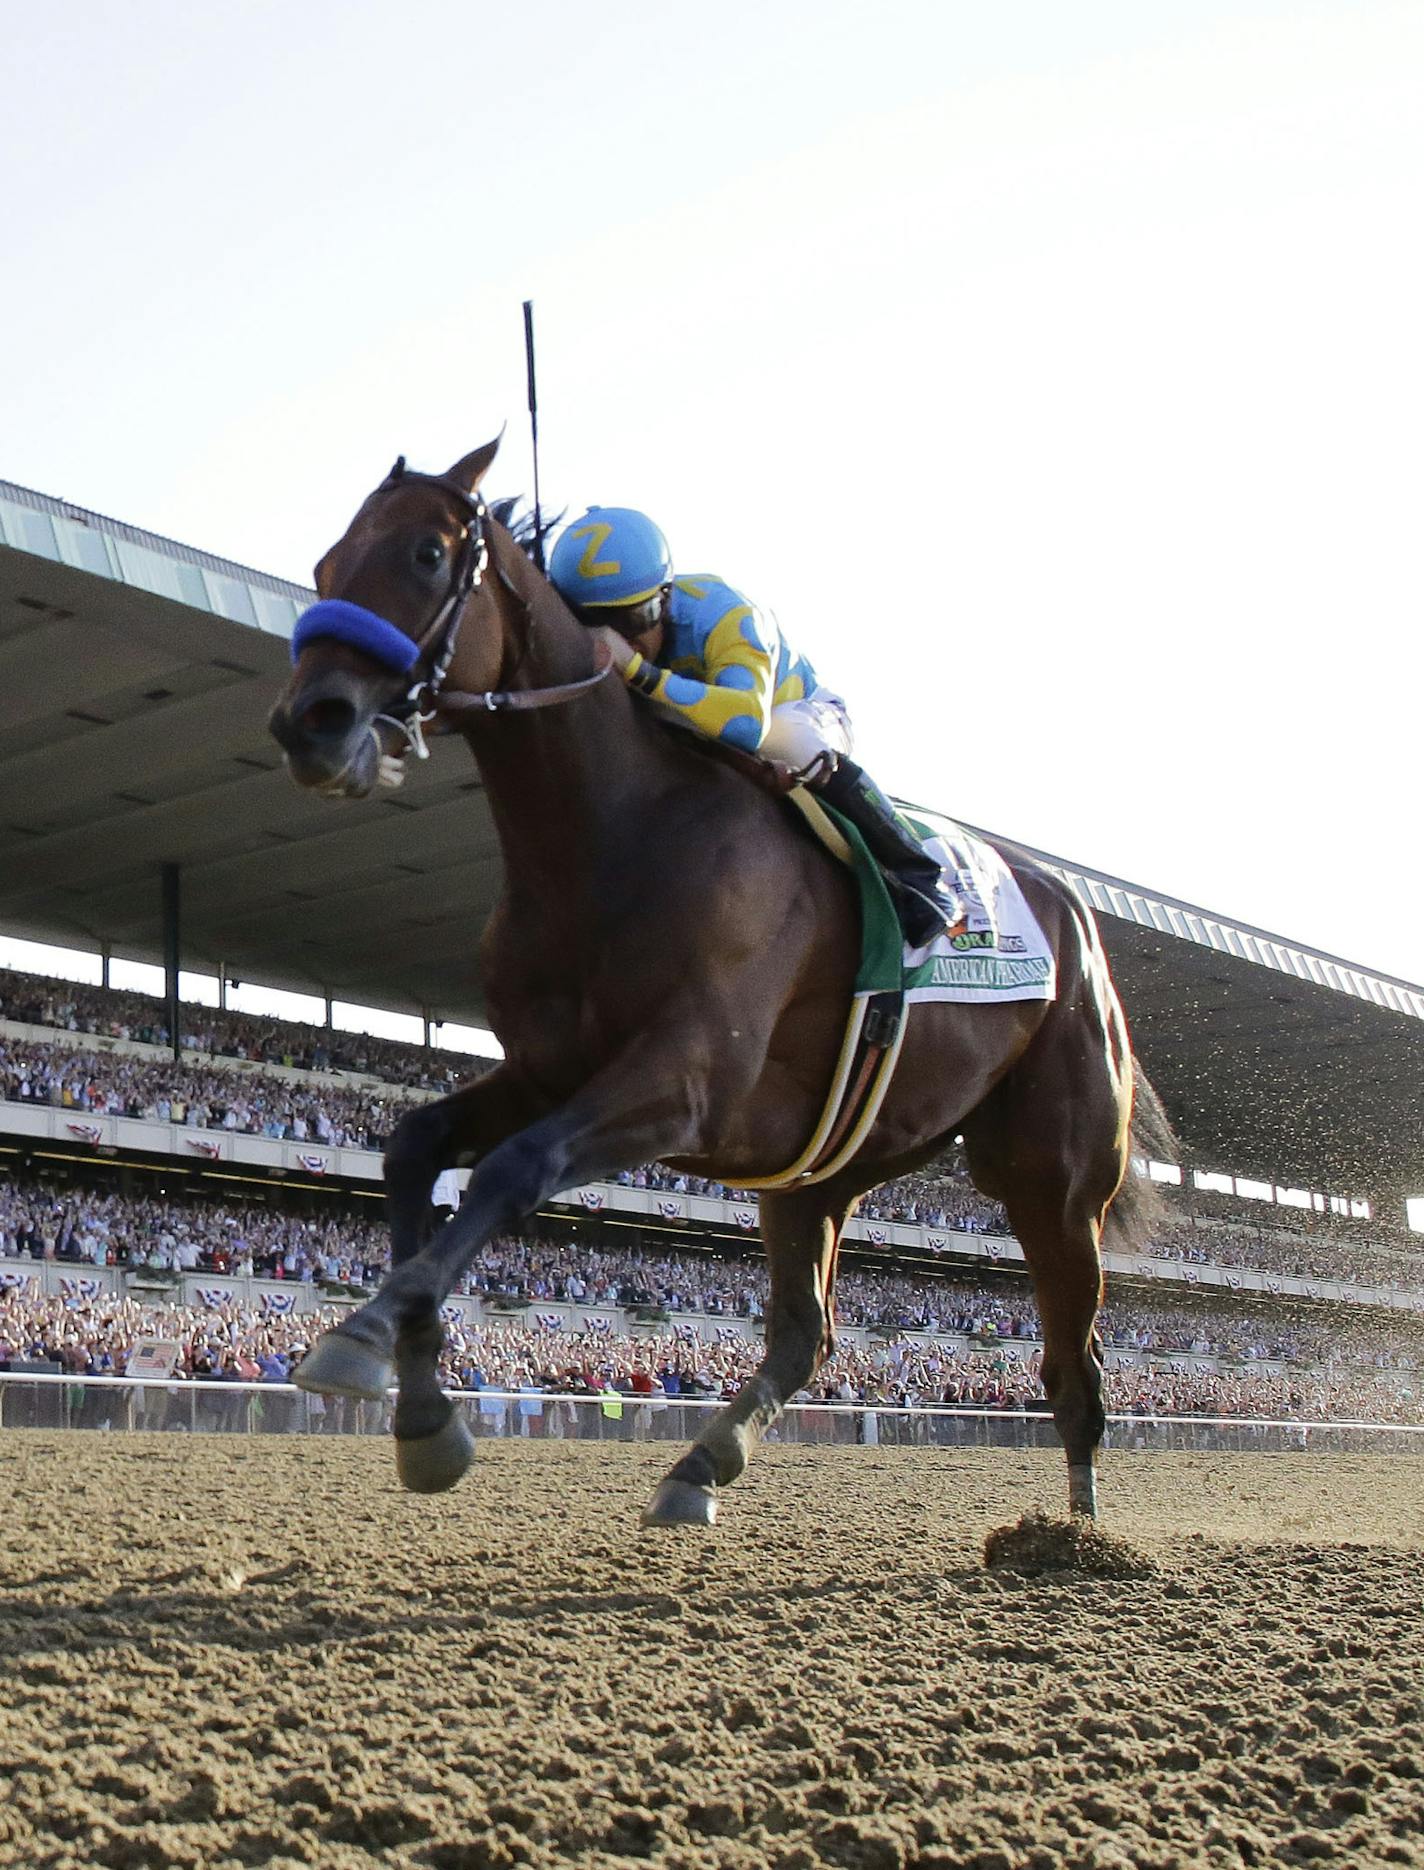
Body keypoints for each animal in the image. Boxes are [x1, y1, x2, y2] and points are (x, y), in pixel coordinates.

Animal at [265, 445, 1167, 1525]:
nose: (310, 725)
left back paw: (1077, 1538)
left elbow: (514, 1167)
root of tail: (1069, 909)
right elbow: (412, 1146)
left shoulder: (687, 1079)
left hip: (1054, 1182)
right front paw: (424, 1414)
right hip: (822, 1168)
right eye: (323, 564)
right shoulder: (548, 1068)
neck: (614, 834)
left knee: (1074, 1371)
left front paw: (357, 1339)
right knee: (806, 1333)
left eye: (427, 553)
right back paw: (700, 1465)